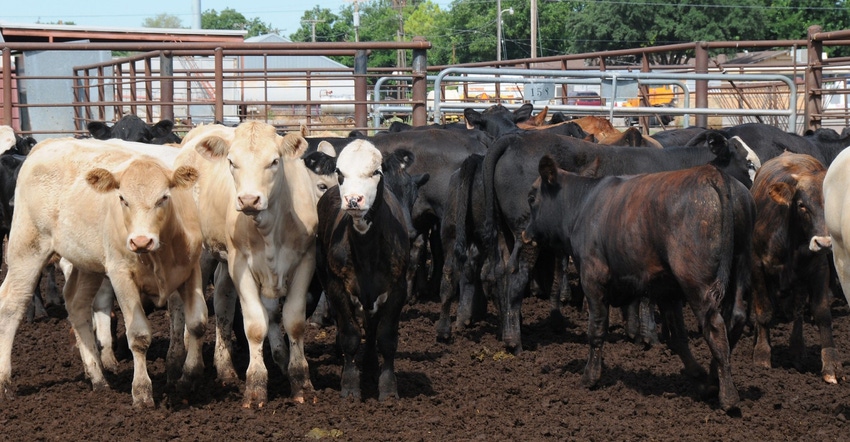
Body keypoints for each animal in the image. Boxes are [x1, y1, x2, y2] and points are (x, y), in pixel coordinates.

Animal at [0, 138, 205, 408]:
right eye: (123, 199)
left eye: (164, 197)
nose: (140, 241)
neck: (161, 250)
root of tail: (47, 143)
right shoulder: (121, 275)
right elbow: (138, 336)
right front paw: (141, 393)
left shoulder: (191, 270)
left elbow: (197, 325)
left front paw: (188, 379)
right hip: (26, 249)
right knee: (11, 306)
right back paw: (5, 382)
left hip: (87, 265)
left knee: (76, 304)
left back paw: (97, 378)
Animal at [174, 121, 320, 408]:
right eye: (232, 161)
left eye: (274, 161)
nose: (249, 200)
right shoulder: (240, 263)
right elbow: (254, 326)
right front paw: (255, 386)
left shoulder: (306, 259)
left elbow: (294, 321)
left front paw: (300, 382)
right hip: (203, 253)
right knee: (191, 310)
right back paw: (185, 368)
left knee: (222, 302)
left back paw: (225, 368)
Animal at [314, 139, 420, 400]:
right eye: (339, 172)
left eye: (376, 172)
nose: (353, 200)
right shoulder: (336, 286)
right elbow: (350, 335)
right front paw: (350, 386)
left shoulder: (397, 288)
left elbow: (386, 338)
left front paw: (388, 388)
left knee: (372, 329)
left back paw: (371, 366)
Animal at [520, 157, 744, 412]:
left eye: (531, 198)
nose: (525, 234)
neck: (583, 206)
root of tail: (711, 173)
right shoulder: (667, 290)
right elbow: (678, 336)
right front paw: (699, 378)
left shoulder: (593, 279)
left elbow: (596, 329)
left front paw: (590, 377)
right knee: (735, 318)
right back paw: (714, 378)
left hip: (697, 283)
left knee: (715, 328)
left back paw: (728, 398)